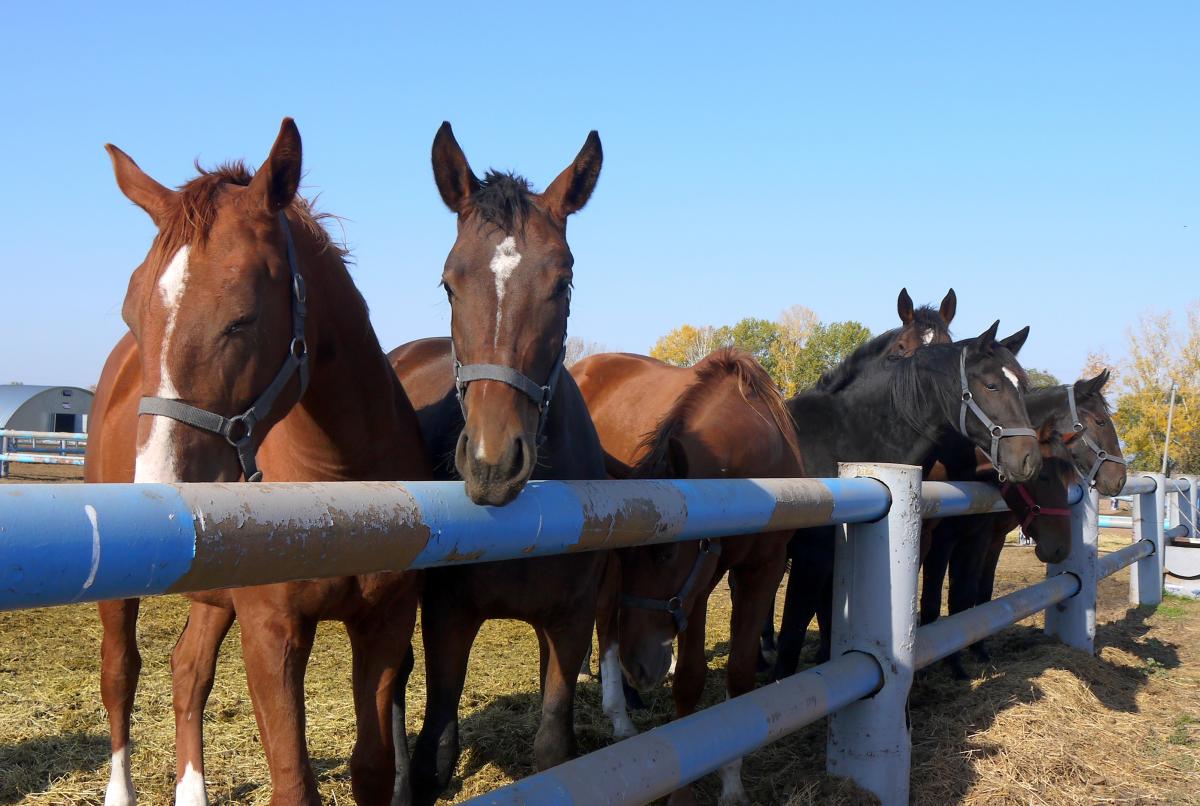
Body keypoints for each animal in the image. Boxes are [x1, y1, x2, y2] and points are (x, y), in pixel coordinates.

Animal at [82, 119, 427, 806]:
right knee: (121, 675)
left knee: (187, 670)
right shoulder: (271, 631)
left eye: (241, 318)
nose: (156, 492)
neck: (343, 487)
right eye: (133, 312)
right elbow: (293, 783)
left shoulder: (385, 622)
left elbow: (372, 767)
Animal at [386, 121, 604, 806]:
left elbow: (555, 746)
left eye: (563, 282)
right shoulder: (447, 616)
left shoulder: (570, 621)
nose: (491, 464)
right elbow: (437, 750)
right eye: (448, 282)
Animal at [571, 347, 806, 806]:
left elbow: (740, 674)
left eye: (666, 552)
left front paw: (732, 783)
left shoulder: (761, 572)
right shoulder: (697, 587)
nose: (640, 668)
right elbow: (689, 681)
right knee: (606, 619)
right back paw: (619, 715)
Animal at [916, 371, 1123, 671]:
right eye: (1100, 421)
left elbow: (976, 592)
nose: (1120, 478)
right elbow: (937, 599)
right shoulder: (945, 540)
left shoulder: (989, 537)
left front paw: (976, 650)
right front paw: (951, 663)